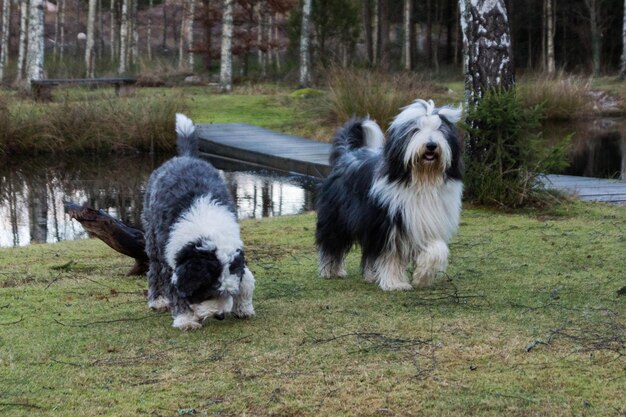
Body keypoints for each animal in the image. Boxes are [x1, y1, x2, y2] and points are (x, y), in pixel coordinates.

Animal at [143, 113, 255, 328]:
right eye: (208, 292)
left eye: (226, 292)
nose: (220, 315)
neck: (207, 227)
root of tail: (186, 157)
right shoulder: (173, 259)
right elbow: (175, 289)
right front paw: (186, 320)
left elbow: (245, 279)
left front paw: (244, 308)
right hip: (152, 236)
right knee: (155, 269)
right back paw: (157, 300)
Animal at [314, 99, 460, 290]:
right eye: (415, 130)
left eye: (440, 130)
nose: (431, 145)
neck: (422, 182)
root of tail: (347, 155)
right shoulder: (389, 224)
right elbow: (391, 256)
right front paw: (395, 283)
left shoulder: (428, 222)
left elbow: (438, 249)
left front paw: (422, 276)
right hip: (337, 219)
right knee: (332, 243)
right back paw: (331, 271)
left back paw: (371, 275)